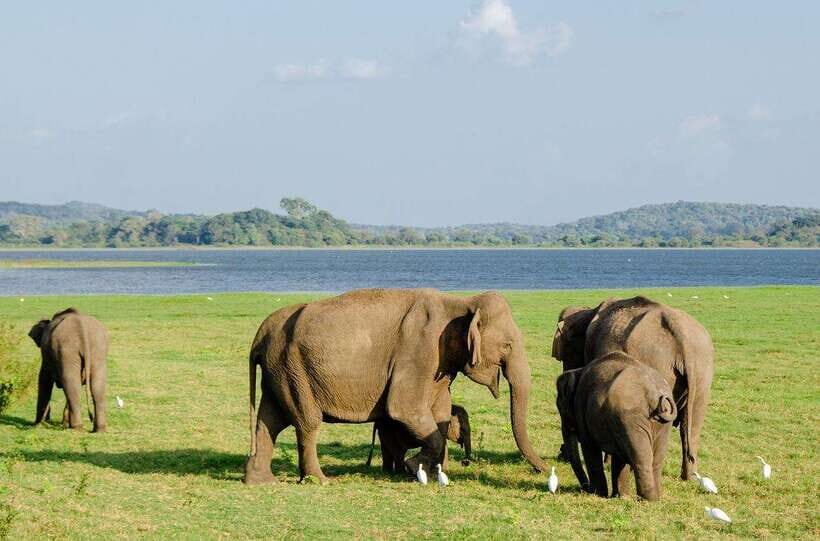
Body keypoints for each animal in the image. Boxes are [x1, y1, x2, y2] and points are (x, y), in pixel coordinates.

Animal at [243, 288, 547, 485]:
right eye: (507, 345)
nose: (544, 470)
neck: (459, 303)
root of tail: (261, 334)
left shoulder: (439, 364)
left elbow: (439, 412)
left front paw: (432, 473)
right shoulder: (418, 351)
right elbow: (403, 408)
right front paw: (414, 468)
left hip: (279, 371)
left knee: (269, 420)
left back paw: (260, 481)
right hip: (294, 370)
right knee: (306, 422)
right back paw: (319, 480)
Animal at [551, 296, 713, 480]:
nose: (560, 455)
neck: (589, 311)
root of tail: (682, 337)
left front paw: (608, 463)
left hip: (658, 364)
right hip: (702, 370)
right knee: (692, 425)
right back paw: (689, 477)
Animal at [556, 351, 677, 501]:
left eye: (561, 409)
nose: (585, 489)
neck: (578, 371)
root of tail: (653, 394)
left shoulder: (581, 406)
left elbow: (589, 447)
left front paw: (599, 494)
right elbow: (619, 458)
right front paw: (620, 496)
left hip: (631, 418)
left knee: (640, 458)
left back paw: (646, 499)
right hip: (660, 424)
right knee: (655, 461)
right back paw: (655, 499)